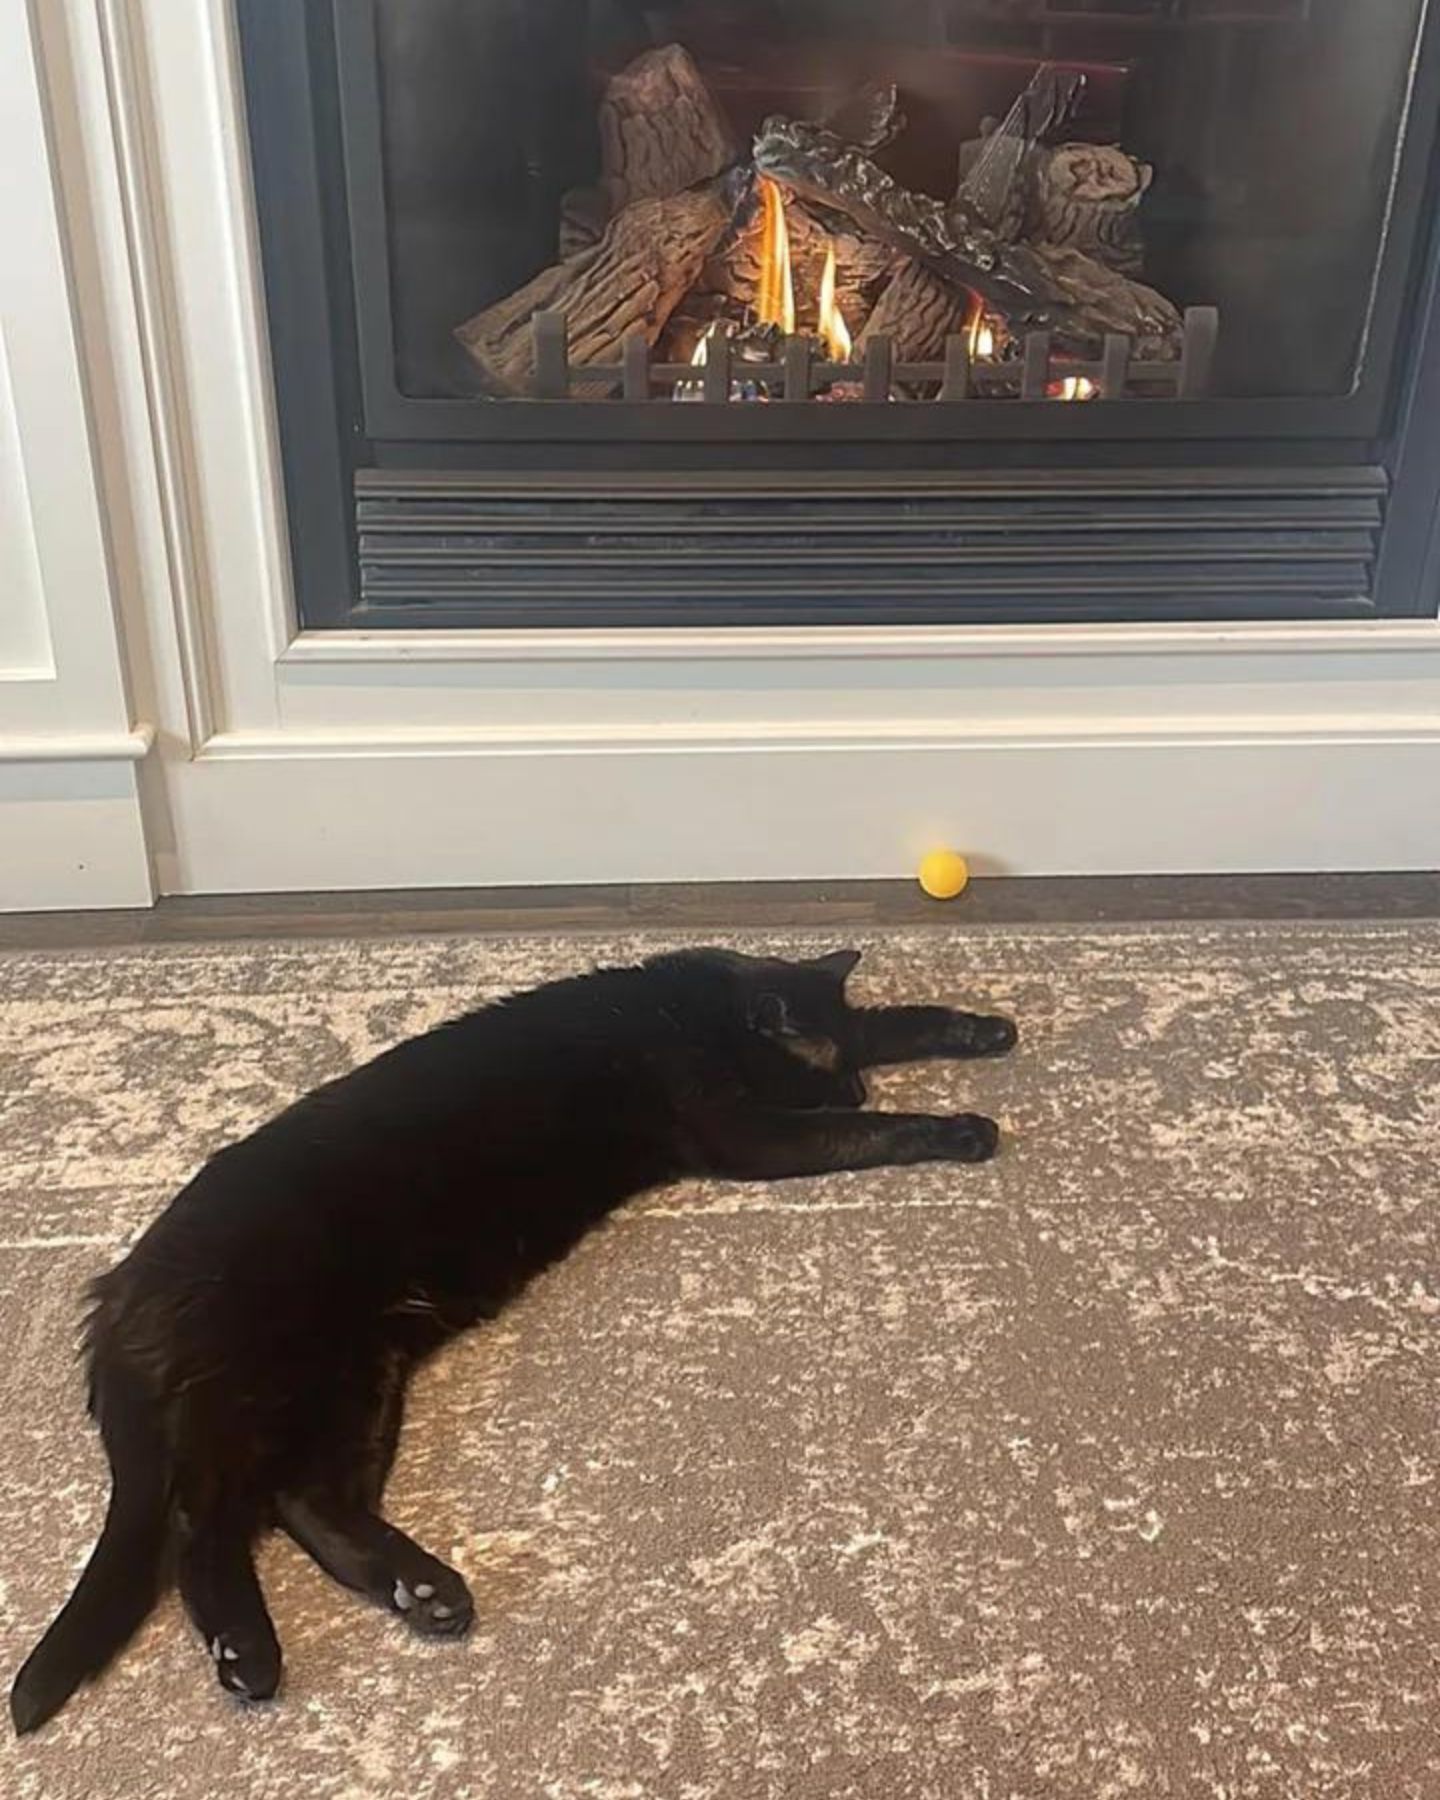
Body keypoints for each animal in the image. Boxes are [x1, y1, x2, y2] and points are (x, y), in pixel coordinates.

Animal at [8, 943, 1015, 1728]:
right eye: (826, 1070)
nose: (852, 1081)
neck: (692, 1007)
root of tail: (117, 1293)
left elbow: (893, 1018)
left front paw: (980, 1029)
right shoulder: (744, 1130)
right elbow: (866, 1132)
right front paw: (960, 1125)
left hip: (356, 1376)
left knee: (300, 1502)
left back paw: (421, 1594)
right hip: (267, 1376)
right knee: (203, 1524)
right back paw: (252, 1652)